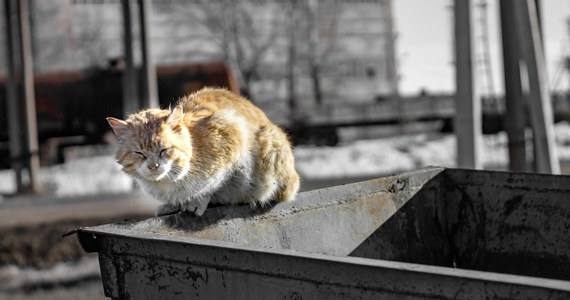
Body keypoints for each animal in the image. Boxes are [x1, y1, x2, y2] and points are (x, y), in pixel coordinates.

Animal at [108, 86, 300, 216]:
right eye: (139, 153)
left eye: (164, 149)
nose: (153, 166)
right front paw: (173, 204)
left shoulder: (231, 131)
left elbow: (213, 184)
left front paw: (197, 201)